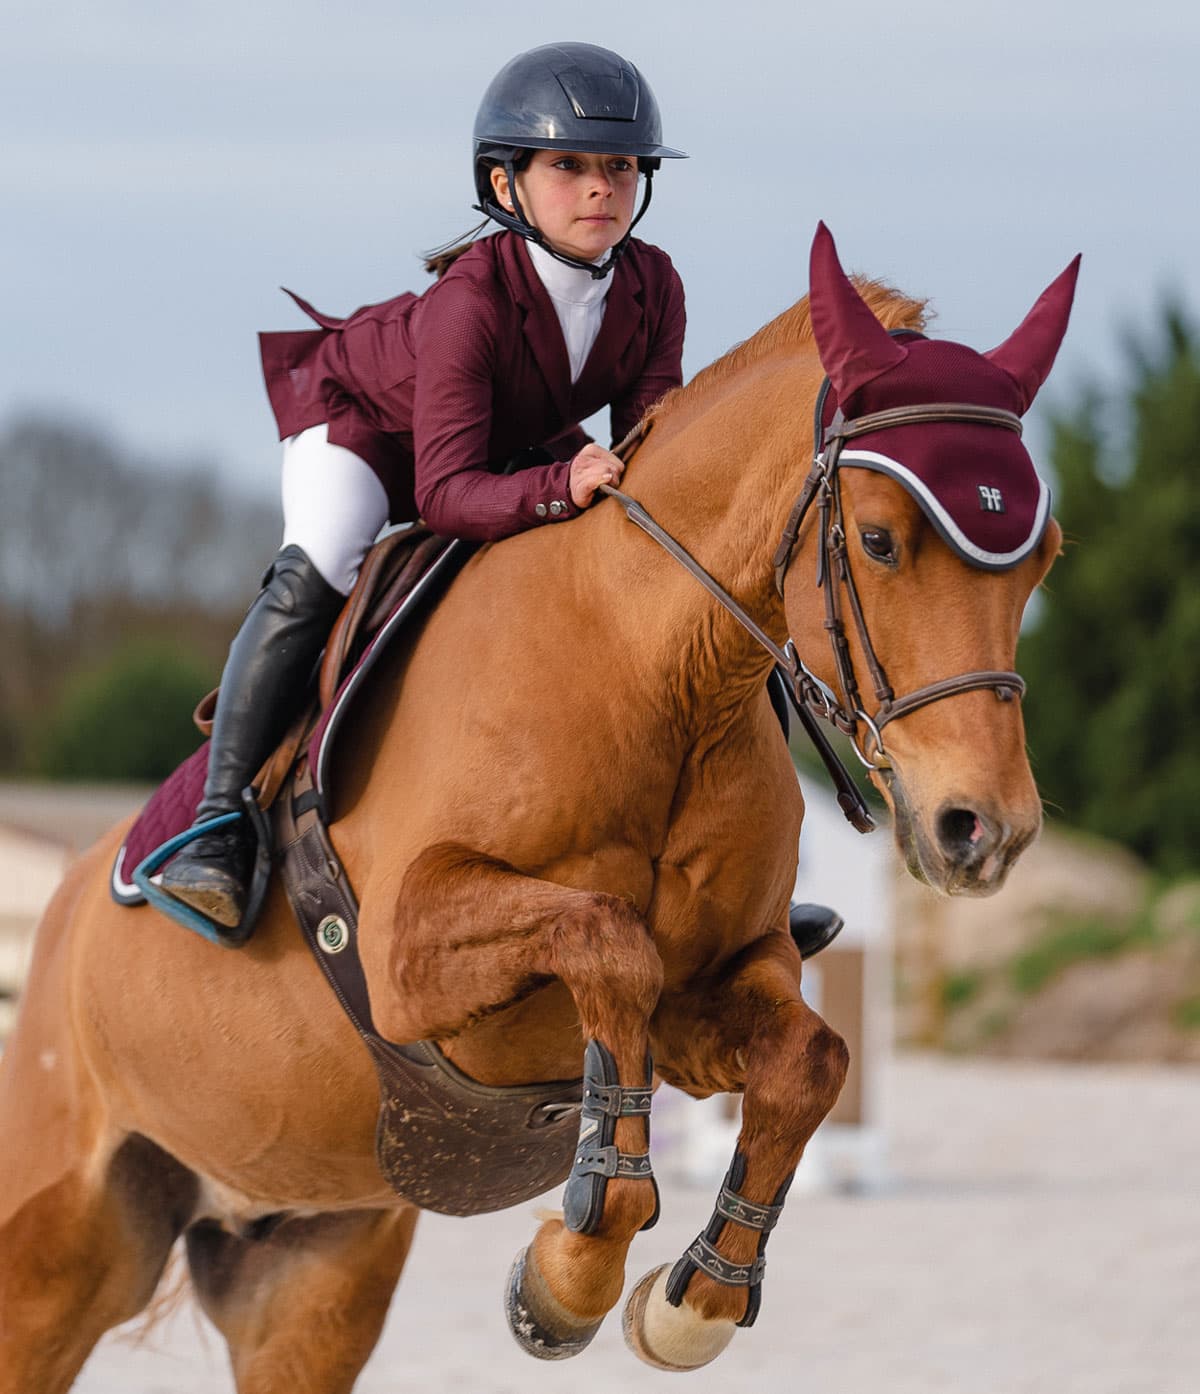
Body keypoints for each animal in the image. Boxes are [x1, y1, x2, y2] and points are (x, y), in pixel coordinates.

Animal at [0, 231, 1070, 1394]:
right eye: (878, 540)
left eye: (1045, 555)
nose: (984, 828)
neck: (662, 677)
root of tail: (59, 919)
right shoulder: (405, 954)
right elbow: (606, 938)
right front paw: (572, 1272)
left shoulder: (712, 994)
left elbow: (808, 1060)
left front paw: (692, 1301)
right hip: (55, 1256)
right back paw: (206, 866)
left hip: (311, 1273)